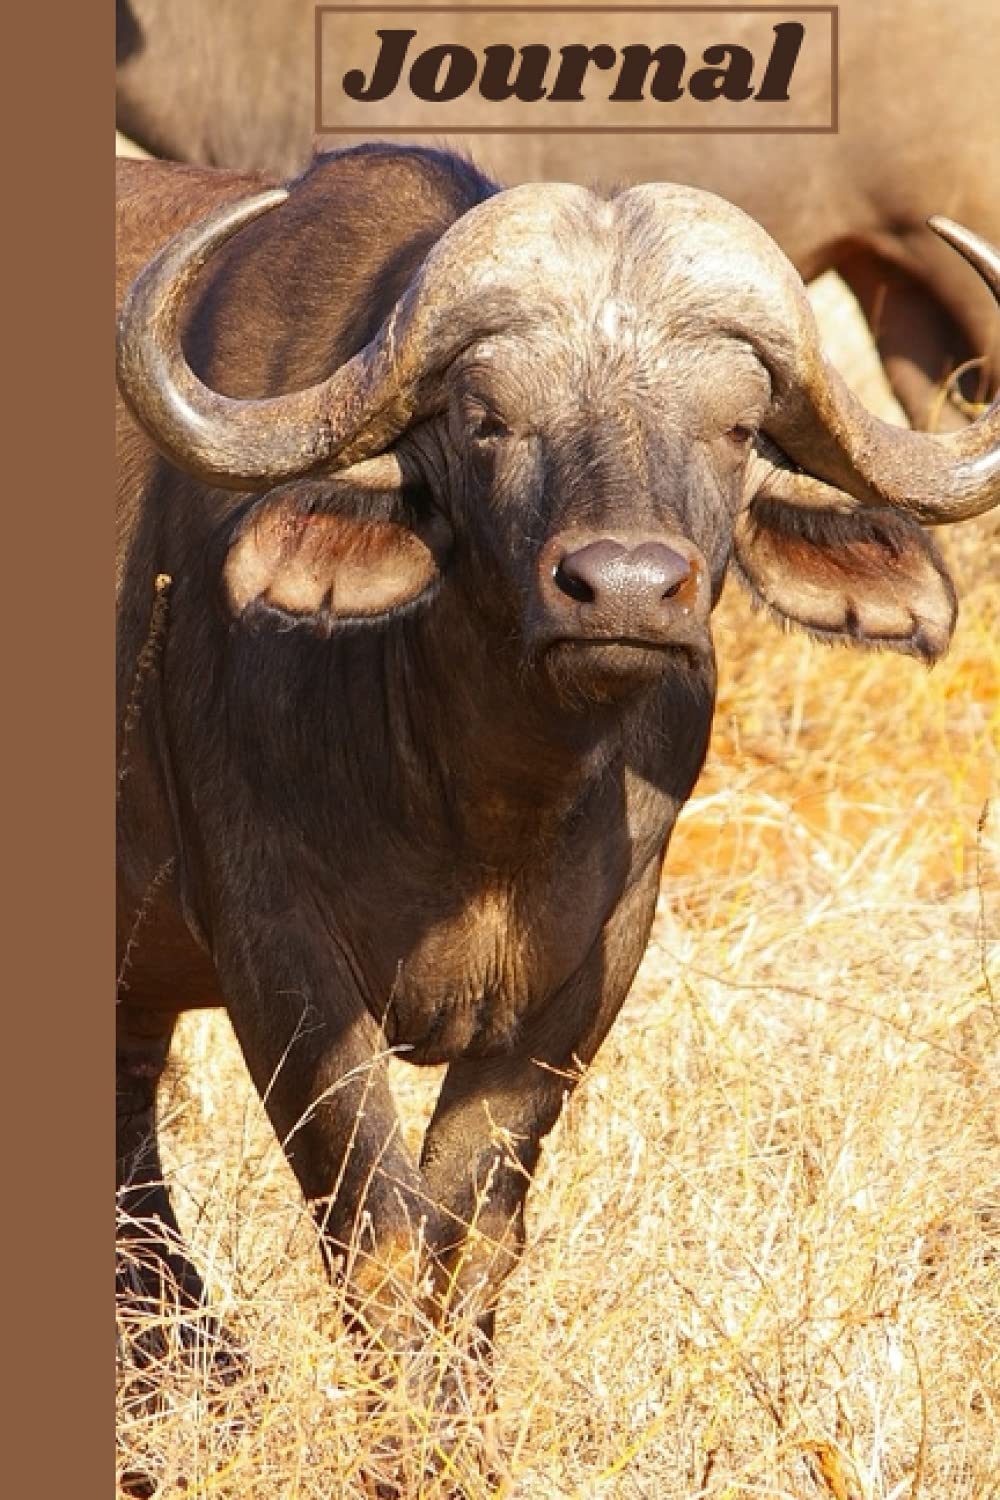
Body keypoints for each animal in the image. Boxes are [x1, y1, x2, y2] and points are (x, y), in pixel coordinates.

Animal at [115, 144, 999, 1379]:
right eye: (487, 420)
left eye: (737, 430)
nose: (624, 588)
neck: (477, 803)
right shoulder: (273, 948)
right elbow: (379, 1233)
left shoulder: (590, 969)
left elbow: (472, 1237)